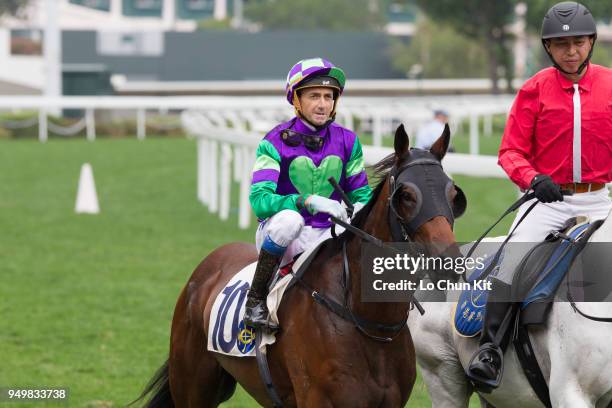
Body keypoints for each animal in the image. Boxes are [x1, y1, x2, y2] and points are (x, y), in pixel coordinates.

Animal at [136, 124, 466, 408]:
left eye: (454, 195)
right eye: (406, 195)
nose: (449, 262)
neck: (371, 324)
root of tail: (208, 265)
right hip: (193, 384)